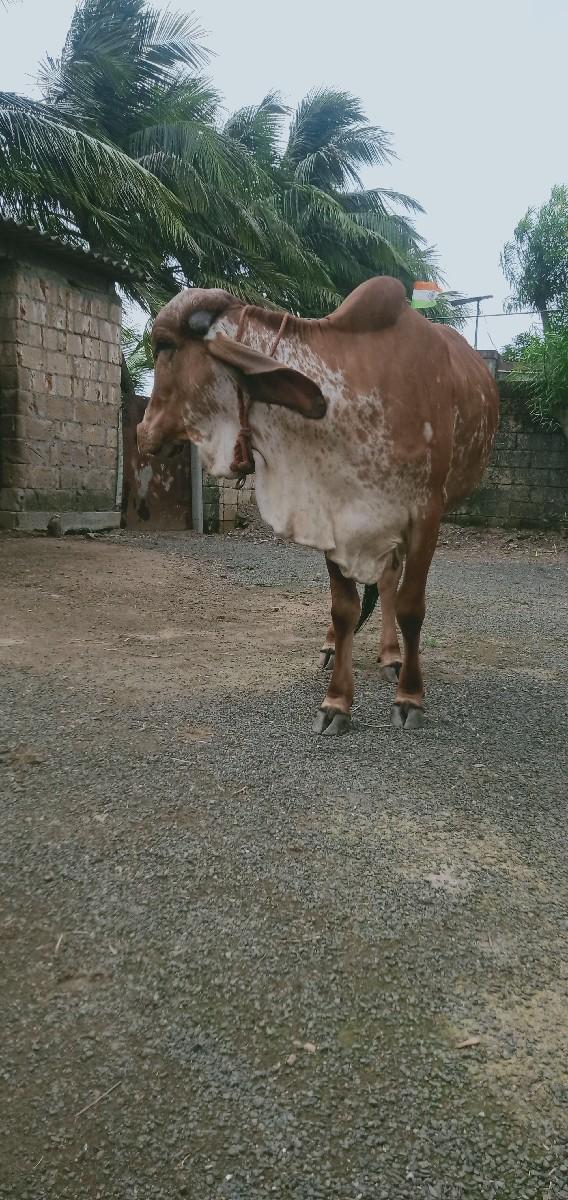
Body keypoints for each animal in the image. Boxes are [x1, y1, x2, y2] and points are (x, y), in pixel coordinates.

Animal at [137, 276, 499, 734]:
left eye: (164, 346)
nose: (141, 430)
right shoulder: (329, 512)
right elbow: (344, 609)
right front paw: (336, 703)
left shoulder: (424, 515)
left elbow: (411, 607)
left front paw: (409, 698)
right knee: (379, 585)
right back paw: (343, 649)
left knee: (390, 585)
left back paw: (392, 656)